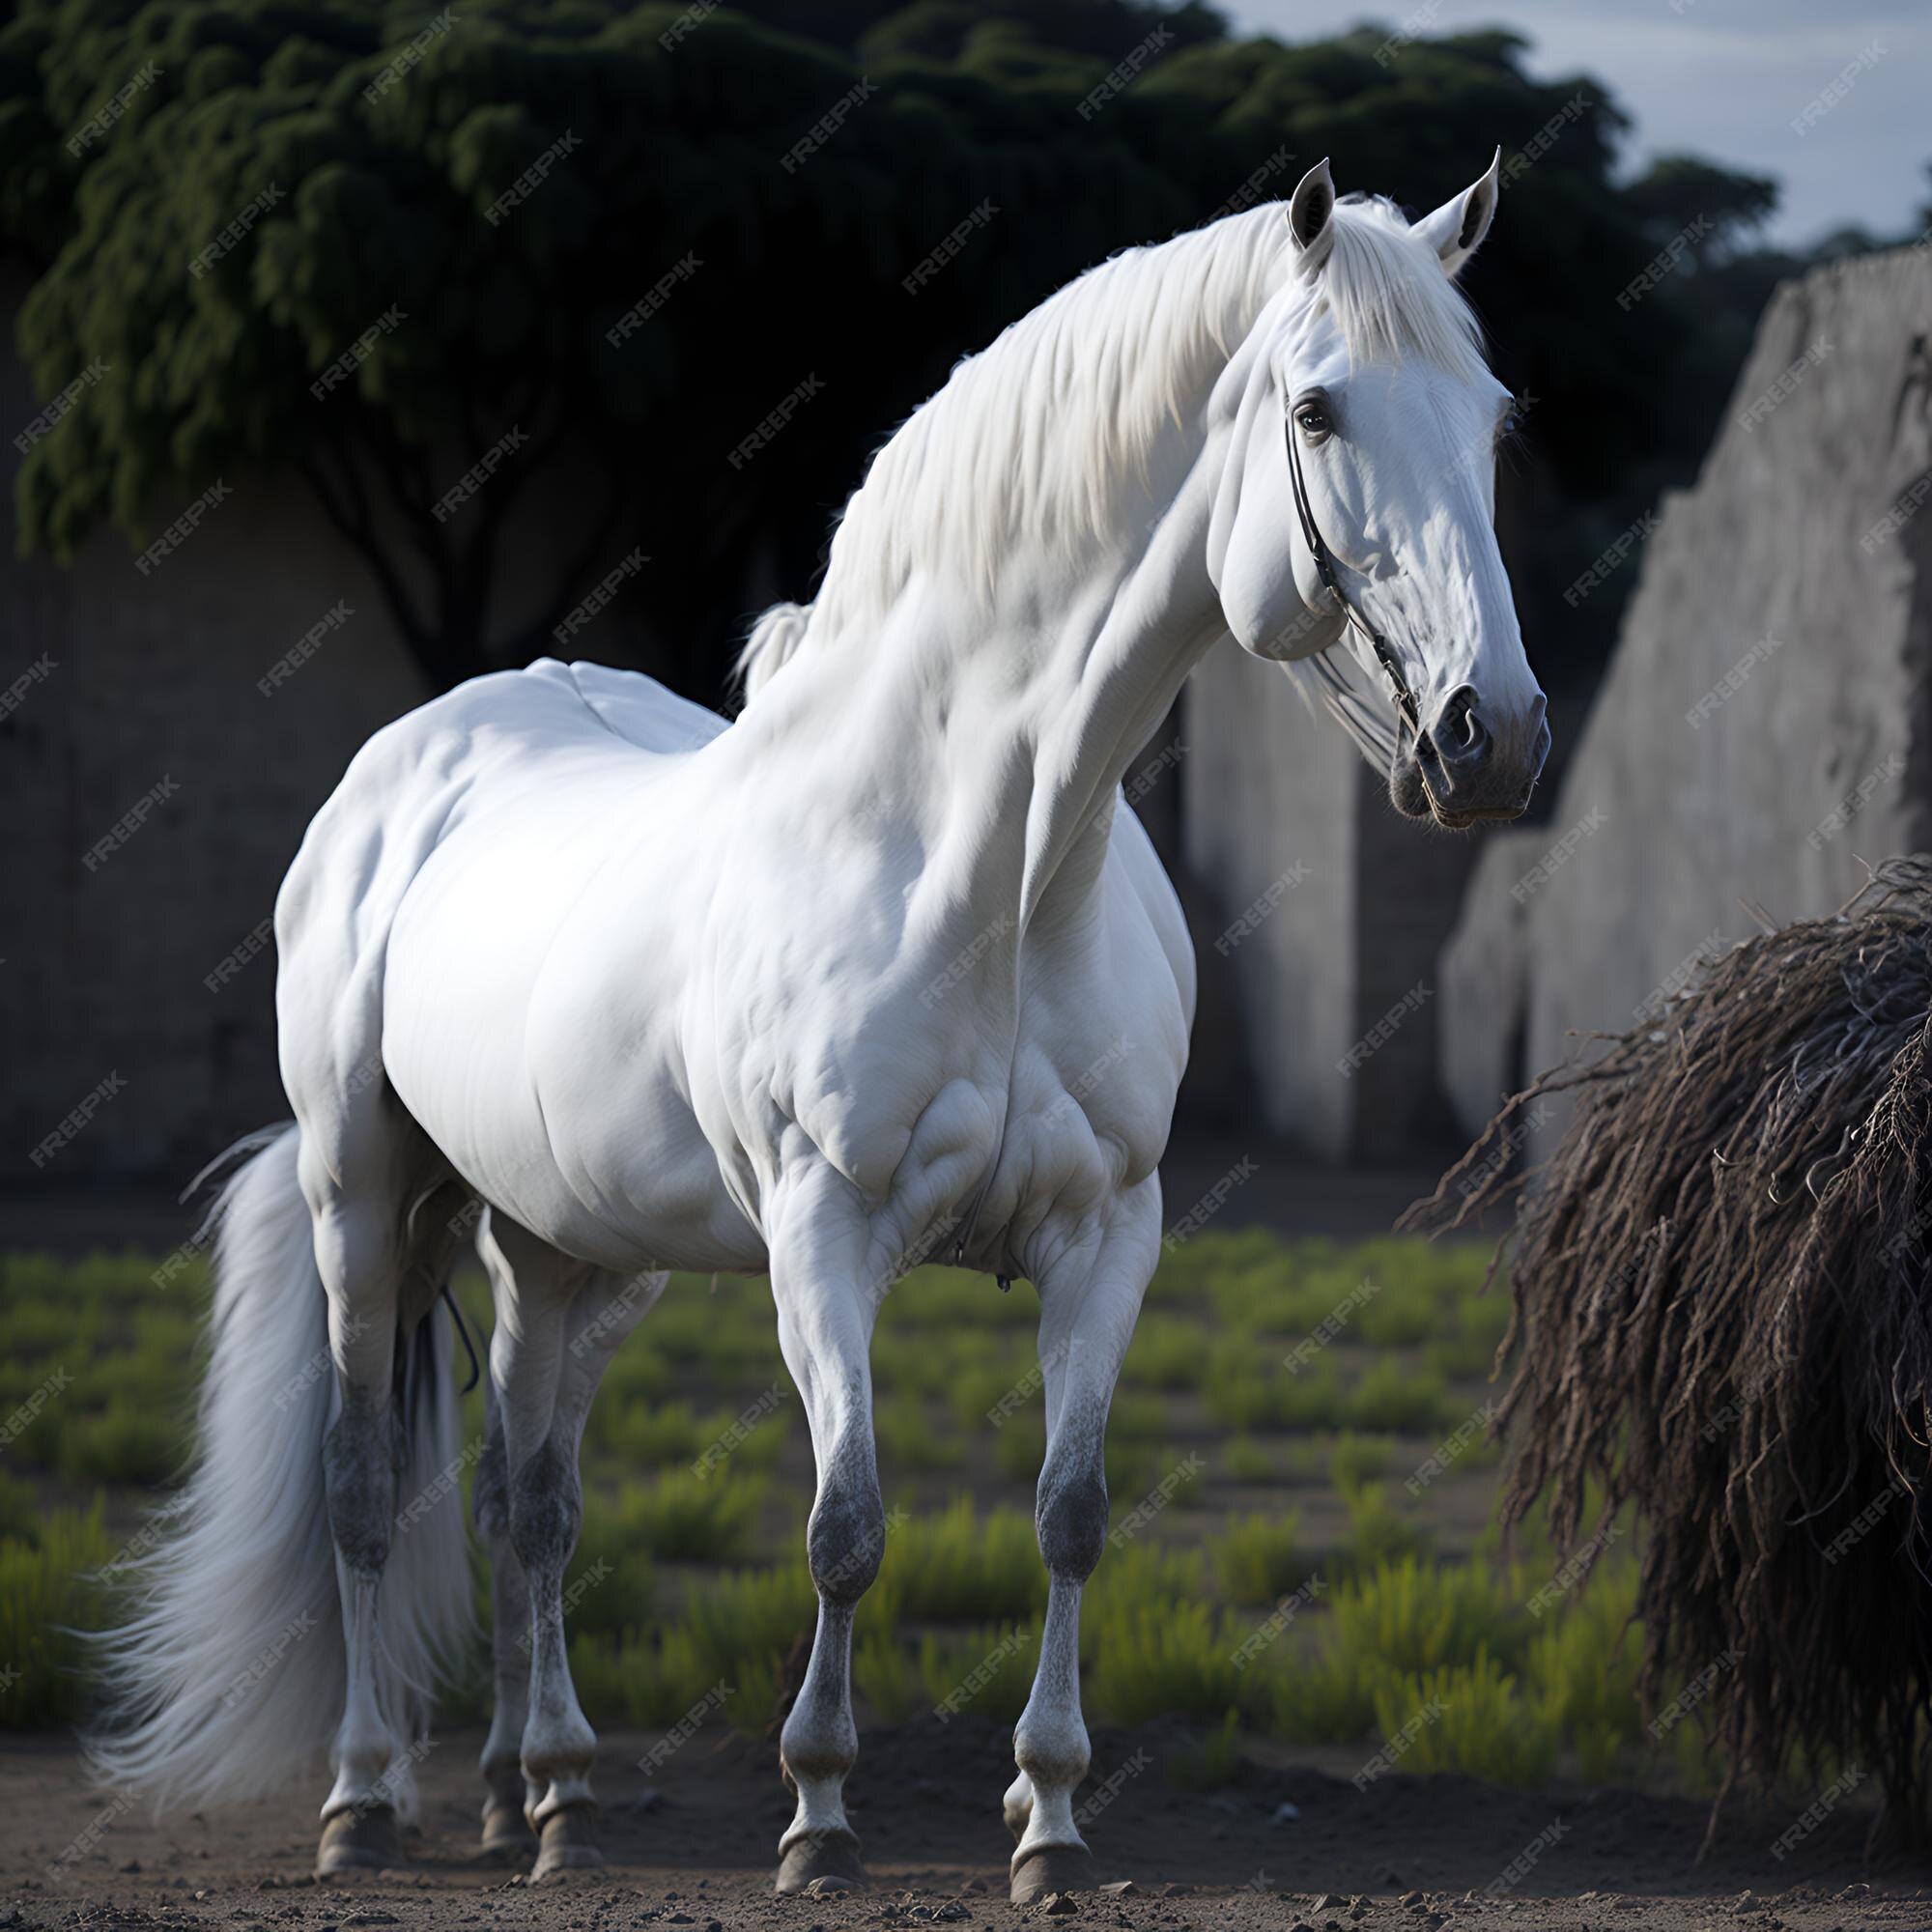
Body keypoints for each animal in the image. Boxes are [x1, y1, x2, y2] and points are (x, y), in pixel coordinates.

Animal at [91, 155, 1546, 1901]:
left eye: (1492, 417)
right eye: (1319, 409)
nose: (1491, 738)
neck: (993, 866)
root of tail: (421, 748)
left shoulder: (1108, 1234)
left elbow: (1071, 1512)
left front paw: (1051, 1819)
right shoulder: (822, 1232)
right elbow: (844, 1527)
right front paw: (820, 1813)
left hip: (564, 1253)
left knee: (530, 1501)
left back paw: (541, 1793)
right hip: (360, 1202)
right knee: (368, 1496)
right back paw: (367, 1797)